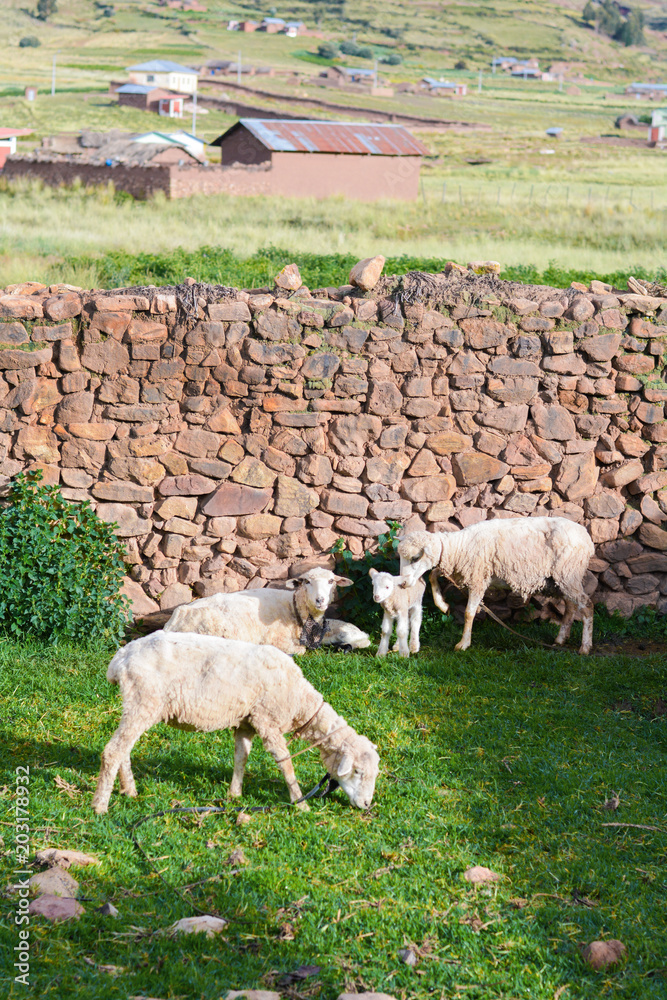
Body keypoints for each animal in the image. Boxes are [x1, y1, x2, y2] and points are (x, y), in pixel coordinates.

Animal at [91, 630, 379, 815]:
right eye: (357, 772)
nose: (367, 805)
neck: (300, 702)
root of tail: (121, 657)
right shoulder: (267, 720)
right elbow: (285, 763)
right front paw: (301, 803)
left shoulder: (247, 721)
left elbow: (242, 755)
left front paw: (235, 794)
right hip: (143, 701)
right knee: (113, 750)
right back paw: (100, 806)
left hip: (138, 705)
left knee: (123, 749)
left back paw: (129, 790)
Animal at [398, 517, 595, 654]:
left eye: (415, 558)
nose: (403, 583)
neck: (459, 547)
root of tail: (587, 537)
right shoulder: (461, 570)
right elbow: (433, 574)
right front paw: (442, 604)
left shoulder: (478, 578)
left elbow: (469, 613)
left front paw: (463, 644)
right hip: (560, 579)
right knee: (570, 606)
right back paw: (561, 639)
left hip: (568, 573)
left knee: (587, 606)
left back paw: (585, 647)